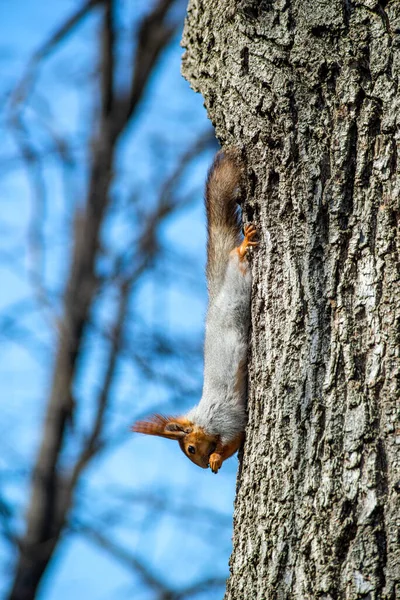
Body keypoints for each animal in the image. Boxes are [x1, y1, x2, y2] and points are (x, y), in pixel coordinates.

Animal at [130, 148, 256, 472]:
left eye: (189, 448)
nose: (199, 466)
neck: (203, 417)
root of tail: (214, 299)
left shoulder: (226, 418)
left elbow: (232, 440)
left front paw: (215, 458)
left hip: (238, 288)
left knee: (236, 259)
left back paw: (244, 246)